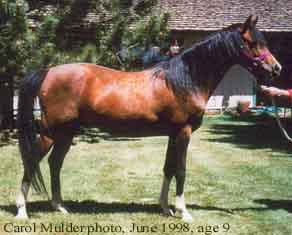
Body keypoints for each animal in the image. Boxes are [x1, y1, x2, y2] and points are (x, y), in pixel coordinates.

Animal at [15, 15, 280, 221]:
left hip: (66, 133)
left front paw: (165, 208)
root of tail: (47, 71)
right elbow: (181, 170)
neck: (185, 79)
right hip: (50, 132)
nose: (276, 68)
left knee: (54, 163)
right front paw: (183, 212)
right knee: (32, 161)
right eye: (253, 43)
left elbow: (168, 168)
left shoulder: (173, 134)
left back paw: (59, 206)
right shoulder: (183, 132)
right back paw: (22, 211)